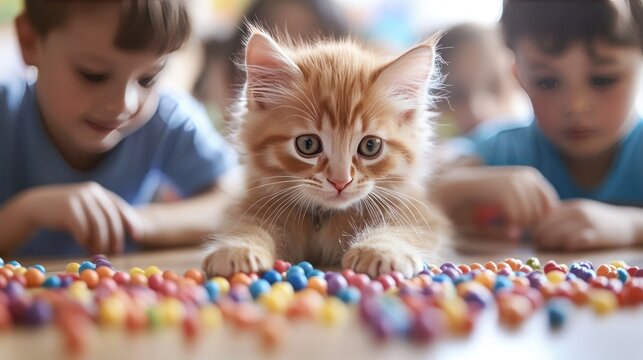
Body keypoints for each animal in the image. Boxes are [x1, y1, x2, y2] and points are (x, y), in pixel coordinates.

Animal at [204, 27, 450, 278]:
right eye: (308, 144)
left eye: (370, 146)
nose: (340, 181)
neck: (324, 217)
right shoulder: (251, 203)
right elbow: (246, 225)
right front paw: (237, 248)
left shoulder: (421, 213)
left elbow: (401, 229)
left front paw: (382, 250)